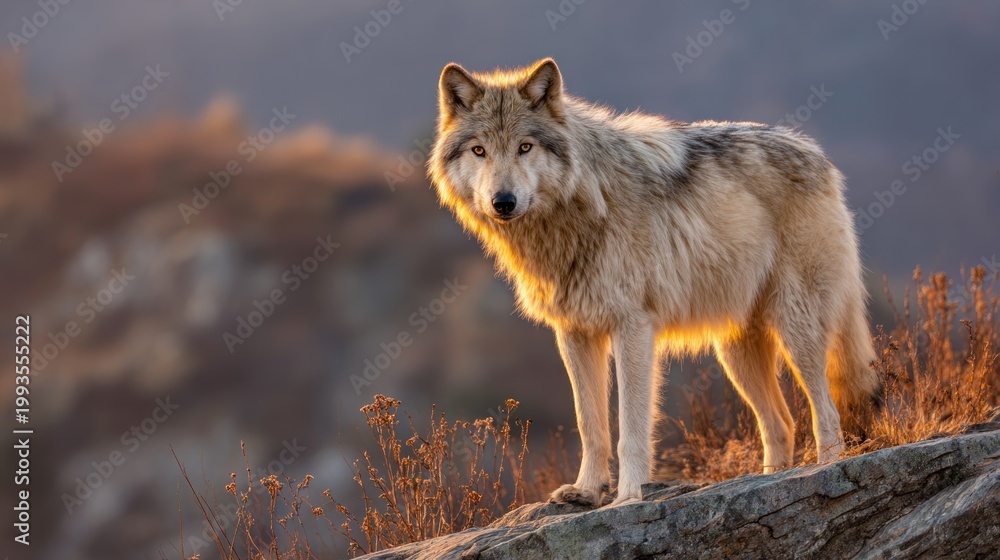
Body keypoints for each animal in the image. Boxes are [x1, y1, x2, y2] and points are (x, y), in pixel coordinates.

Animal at [428, 58, 880, 507]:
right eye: (480, 150)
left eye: (525, 147)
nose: (503, 202)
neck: (582, 206)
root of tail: (816, 153)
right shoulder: (574, 333)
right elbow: (589, 423)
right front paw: (586, 491)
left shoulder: (633, 327)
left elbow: (631, 426)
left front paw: (628, 496)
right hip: (735, 352)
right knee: (781, 423)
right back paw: (771, 480)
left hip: (795, 331)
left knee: (827, 411)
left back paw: (823, 471)